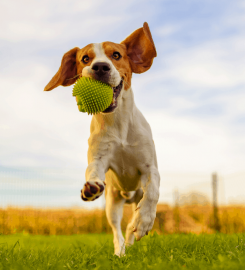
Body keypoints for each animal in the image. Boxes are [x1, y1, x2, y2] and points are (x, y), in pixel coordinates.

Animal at [44, 21, 161, 255]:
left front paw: (144, 221)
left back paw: (135, 227)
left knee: (132, 219)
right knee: (117, 230)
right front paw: (91, 186)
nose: (100, 67)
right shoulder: (99, 158)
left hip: (135, 194)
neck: (118, 124)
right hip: (112, 204)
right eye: (85, 59)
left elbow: (153, 190)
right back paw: (120, 252)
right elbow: (92, 170)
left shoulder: (150, 167)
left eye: (116, 55)